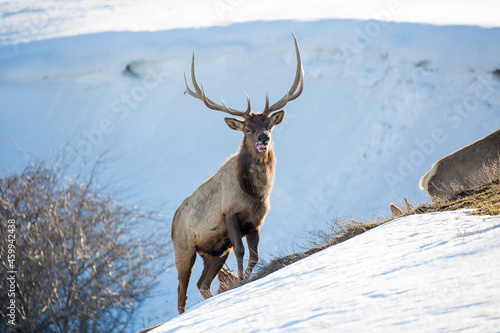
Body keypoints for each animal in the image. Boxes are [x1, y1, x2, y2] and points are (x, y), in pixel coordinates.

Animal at [172, 31, 304, 314]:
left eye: (268, 125)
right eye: (248, 129)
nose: (263, 138)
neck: (254, 193)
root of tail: (173, 220)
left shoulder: (255, 222)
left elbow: (254, 255)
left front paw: (245, 279)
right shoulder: (230, 215)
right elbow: (242, 252)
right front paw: (242, 282)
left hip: (214, 251)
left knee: (202, 283)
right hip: (183, 249)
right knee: (181, 292)